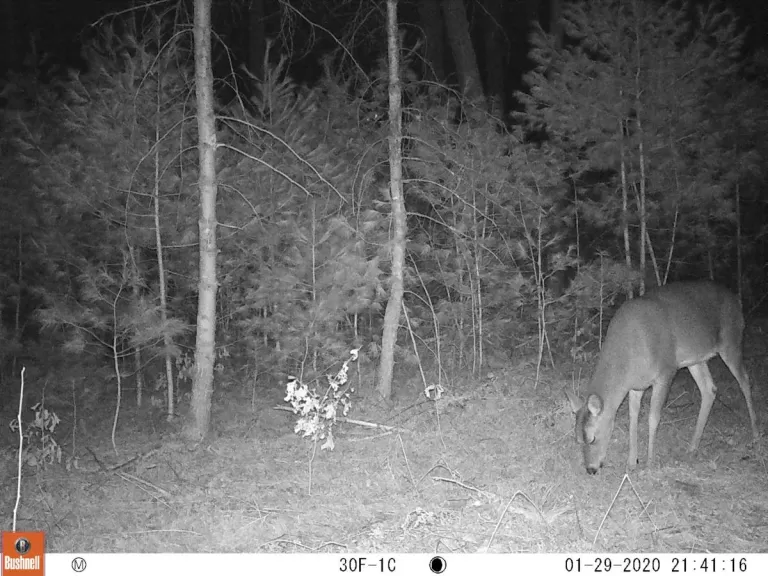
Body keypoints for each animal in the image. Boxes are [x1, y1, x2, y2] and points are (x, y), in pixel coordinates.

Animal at [565, 281, 760, 475]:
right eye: (577, 439)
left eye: (592, 438)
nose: (590, 469)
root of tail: (736, 300)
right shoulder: (636, 385)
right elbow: (633, 417)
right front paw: (631, 462)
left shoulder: (666, 371)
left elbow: (653, 418)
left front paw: (649, 463)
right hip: (696, 359)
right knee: (709, 389)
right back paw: (692, 446)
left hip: (731, 341)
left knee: (745, 380)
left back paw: (756, 434)